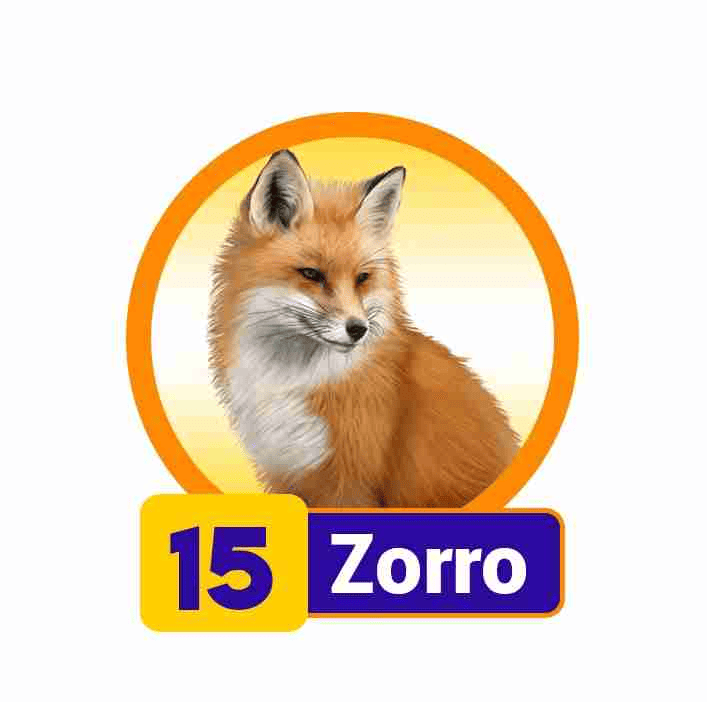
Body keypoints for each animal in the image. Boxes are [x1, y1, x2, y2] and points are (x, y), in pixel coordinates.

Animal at [208, 150, 519, 508]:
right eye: (311, 274)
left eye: (362, 278)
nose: (358, 329)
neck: (297, 381)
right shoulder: (287, 472)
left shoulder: (351, 483)